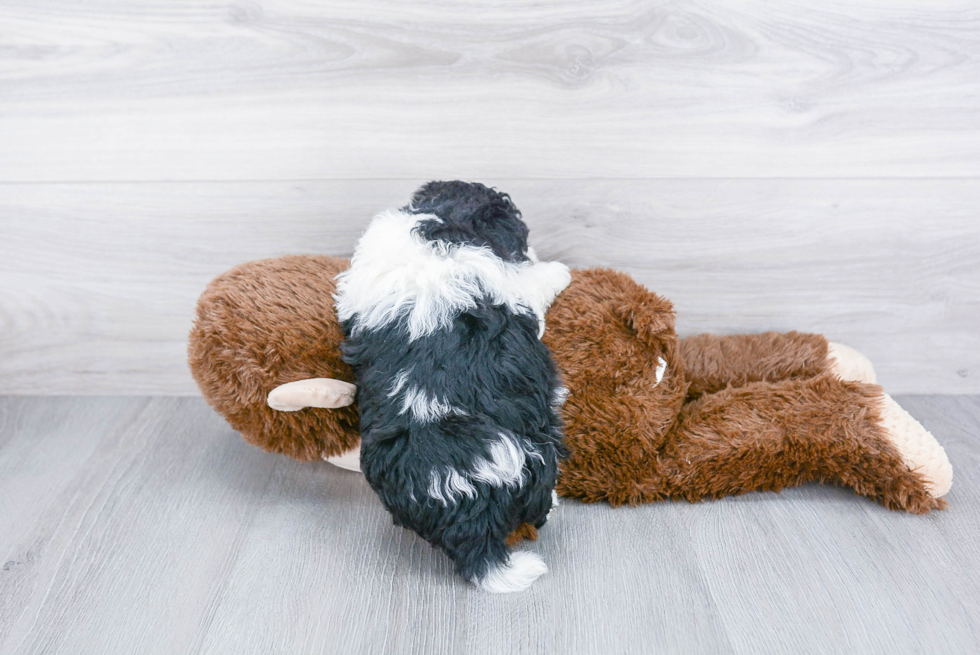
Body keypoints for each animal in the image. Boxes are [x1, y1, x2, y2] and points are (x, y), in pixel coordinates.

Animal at [334, 181, 572, 596]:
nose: (531, 250)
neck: (438, 220)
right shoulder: (513, 287)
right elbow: (533, 282)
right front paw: (557, 270)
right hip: (538, 457)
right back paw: (554, 501)